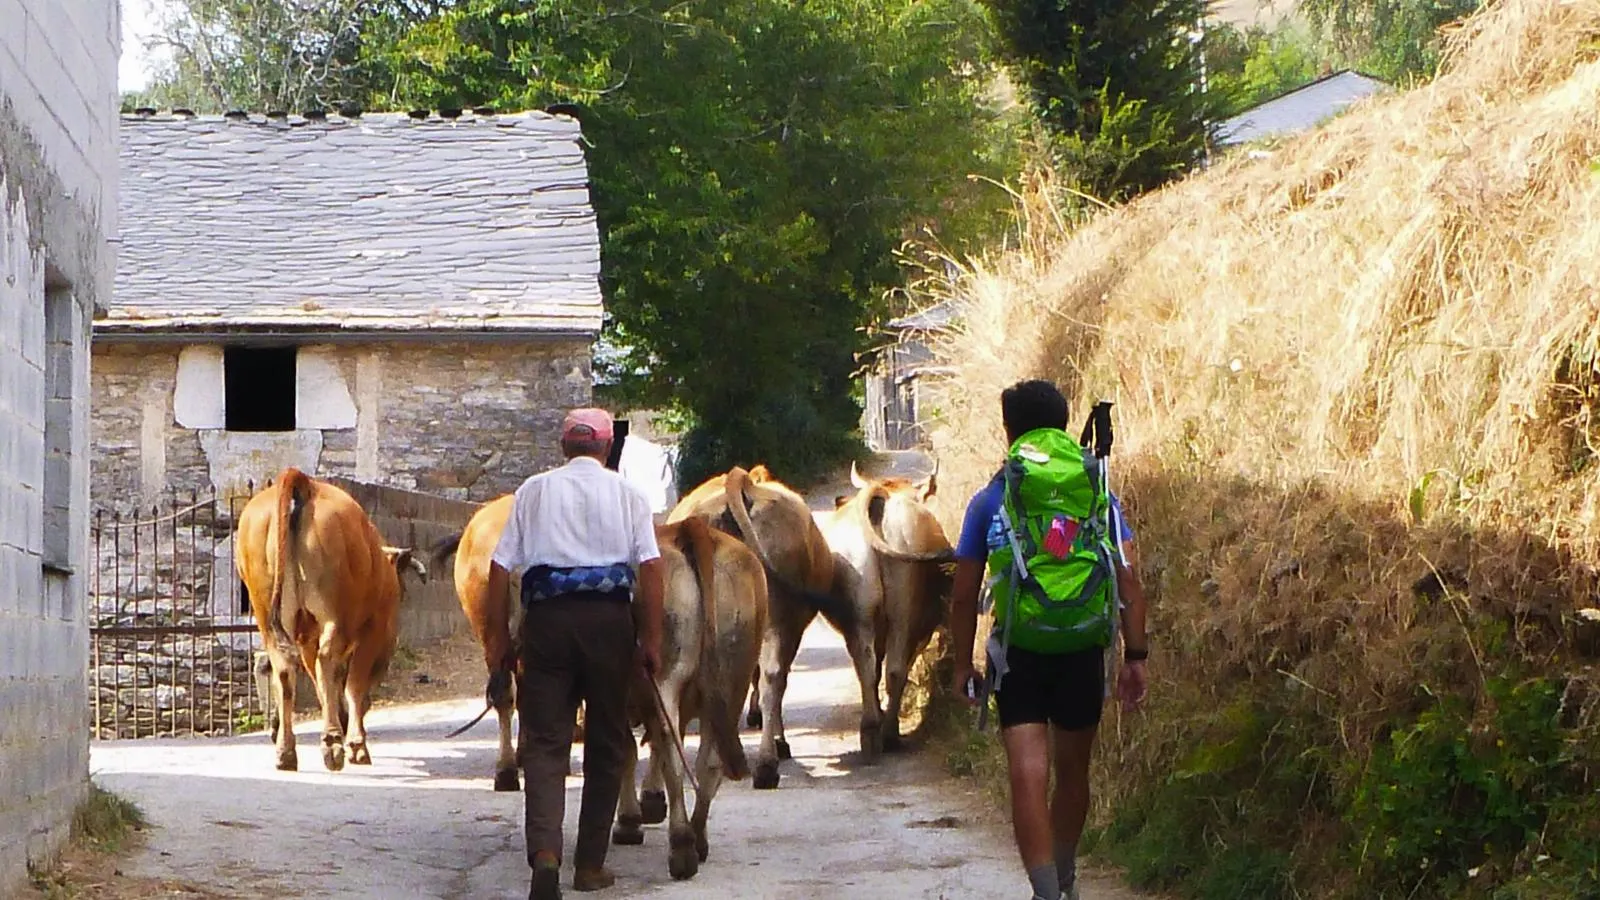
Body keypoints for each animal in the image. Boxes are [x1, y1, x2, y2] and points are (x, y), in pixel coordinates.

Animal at [235, 468, 427, 772]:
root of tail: (303, 482)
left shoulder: (307, 638)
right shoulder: (375, 633)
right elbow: (355, 687)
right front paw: (356, 743)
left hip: (269, 615)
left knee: (286, 669)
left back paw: (286, 751)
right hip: (334, 616)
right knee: (326, 662)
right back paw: (333, 744)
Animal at [612, 517, 765, 881]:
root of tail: (691, 528)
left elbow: (626, 750)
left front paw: (629, 822)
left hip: (665, 674)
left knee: (671, 746)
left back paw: (682, 846)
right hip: (734, 678)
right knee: (709, 759)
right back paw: (697, 838)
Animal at [815, 462, 955, 754]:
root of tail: (881, 496)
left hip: (863, 610)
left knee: (868, 666)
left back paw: (871, 730)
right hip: (905, 612)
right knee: (895, 668)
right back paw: (889, 733)